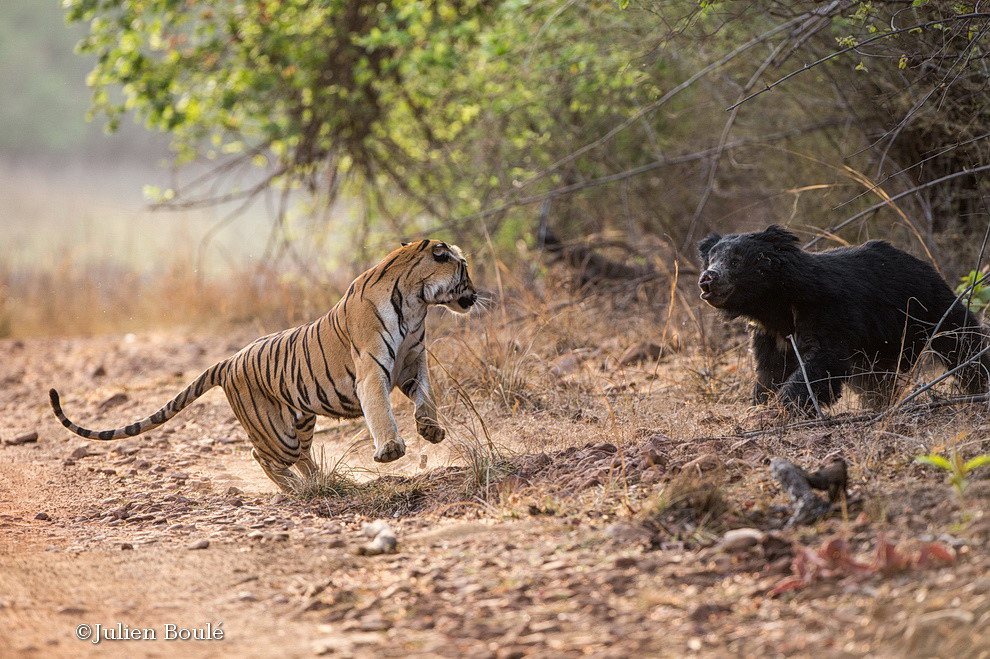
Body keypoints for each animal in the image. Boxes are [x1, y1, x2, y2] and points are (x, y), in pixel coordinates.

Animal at [49, 240, 476, 492]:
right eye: (464, 269)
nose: (475, 294)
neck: (418, 301)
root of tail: (227, 361)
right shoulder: (372, 371)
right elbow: (381, 412)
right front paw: (390, 450)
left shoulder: (412, 364)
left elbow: (427, 397)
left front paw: (431, 430)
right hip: (277, 432)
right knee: (263, 456)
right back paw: (294, 488)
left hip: (301, 420)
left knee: (302, 456)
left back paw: (322, 481)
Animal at [696, 227, 990, 412]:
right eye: (711, 260)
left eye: (735, 261)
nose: (707, 279)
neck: (775, 304)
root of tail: (922, 263)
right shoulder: (770, 334)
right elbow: (770, 371)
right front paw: (761, 406)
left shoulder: (828, 312)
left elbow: (823, 361)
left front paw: (781, 408)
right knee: (876, 380)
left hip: (927, 305)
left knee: (960, 341)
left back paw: (978, 385)